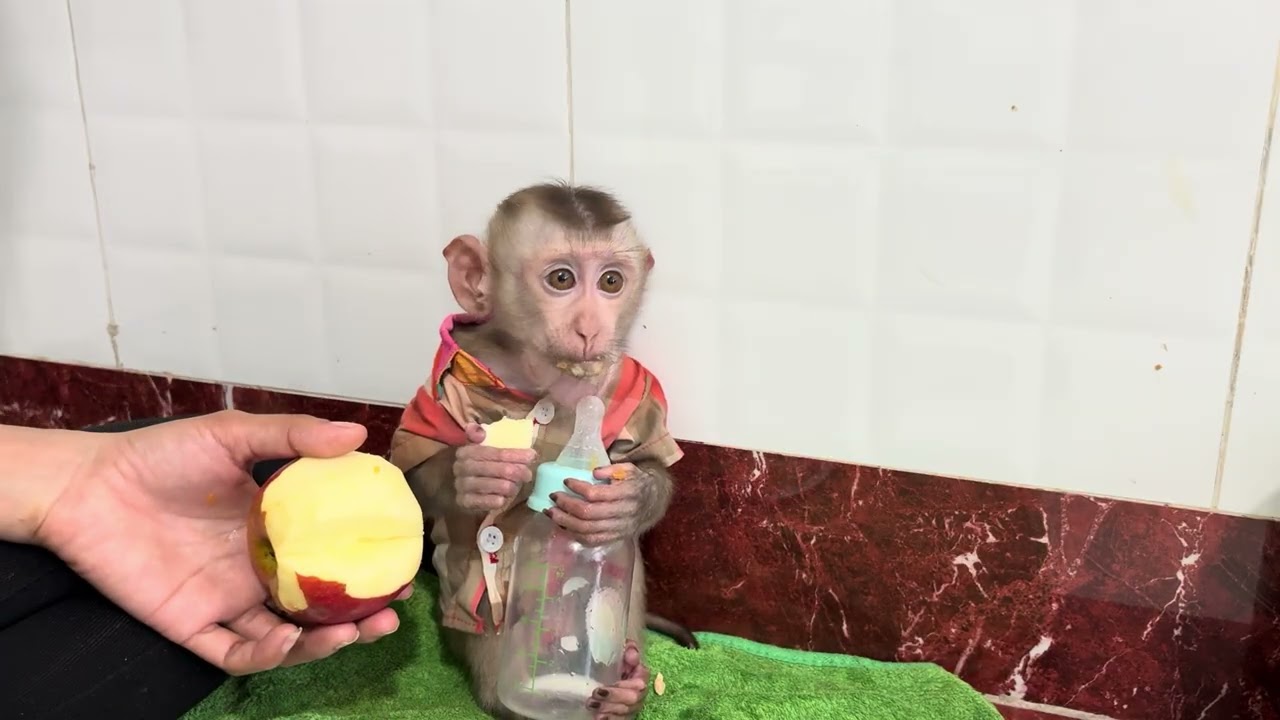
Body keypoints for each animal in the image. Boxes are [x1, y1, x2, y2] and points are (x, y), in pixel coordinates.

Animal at [387, 182, 696, 720]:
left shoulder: (635, 380)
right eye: (561, 279)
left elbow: (647, 462)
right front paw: (476, 475)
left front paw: (628, 500)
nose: (590, 328)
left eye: (611, 281)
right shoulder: (443, 378)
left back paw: (626, 689)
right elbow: (417, 469)